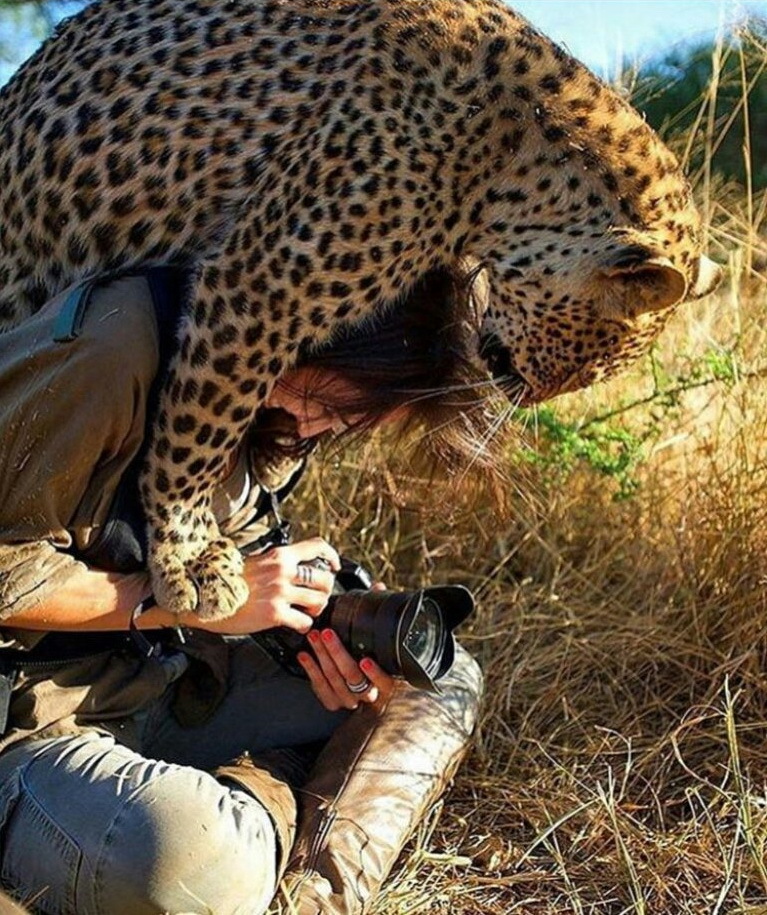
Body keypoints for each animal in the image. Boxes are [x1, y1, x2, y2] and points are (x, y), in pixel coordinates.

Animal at [0, 0, 720, 624]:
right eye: (584, 364)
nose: (531, 395)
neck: (516, 165)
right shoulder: (258, 285)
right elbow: (198, 429)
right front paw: (193, 559)